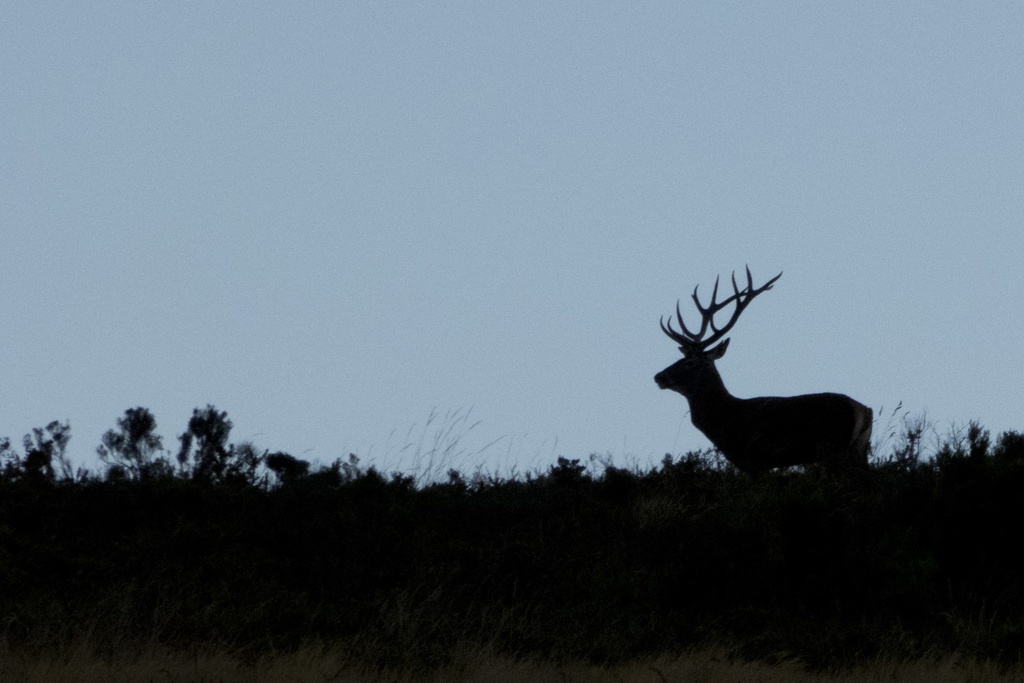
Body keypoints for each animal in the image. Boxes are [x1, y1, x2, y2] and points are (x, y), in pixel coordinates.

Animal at [655, 266, 872, 475]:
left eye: (690, 362)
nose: (658, 376)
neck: (725, 420)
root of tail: (864, 411)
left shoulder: (753, 459)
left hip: (833, 448)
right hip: (858, 451)